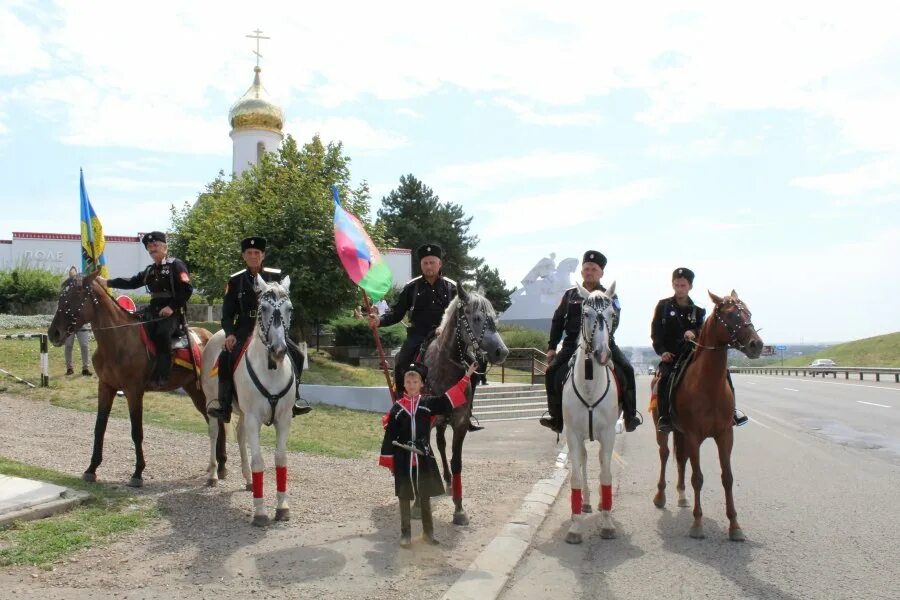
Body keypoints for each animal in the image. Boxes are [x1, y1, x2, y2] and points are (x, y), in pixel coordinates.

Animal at [48, 272, 223, 488]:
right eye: (61, 295)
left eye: (76, 294)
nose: (53, 333)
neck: (118, 339)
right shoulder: (105, 387)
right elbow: (99, 428)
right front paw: (91, 468)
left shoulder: (133, 391)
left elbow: (136, 431)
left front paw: (138, 473)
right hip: (194, 390)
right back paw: (219, 466)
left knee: (216, 423)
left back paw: (219, 467)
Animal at [202, 276, 298, 524]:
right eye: (262, 308)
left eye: (289, 308)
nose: (279, 350)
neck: (271, 369)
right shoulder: (254, 419)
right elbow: (259, 461)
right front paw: (260, 512)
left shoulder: (284, 419)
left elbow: (281, 460)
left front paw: (282, 507)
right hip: (213, 403)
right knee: (214, 432)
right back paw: (213, 474)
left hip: (244, 414)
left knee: (239, 434)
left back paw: (247, 480)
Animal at [422, 286, 506, 524]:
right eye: (476, 318)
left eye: (494, 317)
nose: (502, 352)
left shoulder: (459, 423)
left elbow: (456, 461)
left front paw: (459, 509)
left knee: (441, 444)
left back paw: (449, 481)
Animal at [652, 288, 764, 540]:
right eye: (731, 315)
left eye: (749, 312)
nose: (757, 345)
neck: (708, 384)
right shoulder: (694, 436)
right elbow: (698, 477)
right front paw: (697, 524)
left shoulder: (724, 436)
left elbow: (727, 478)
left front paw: (735, 526)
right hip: (663, 429)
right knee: (665, 455)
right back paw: (660, 496)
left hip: (681, 433)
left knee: (680, 459)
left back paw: (682, 496)